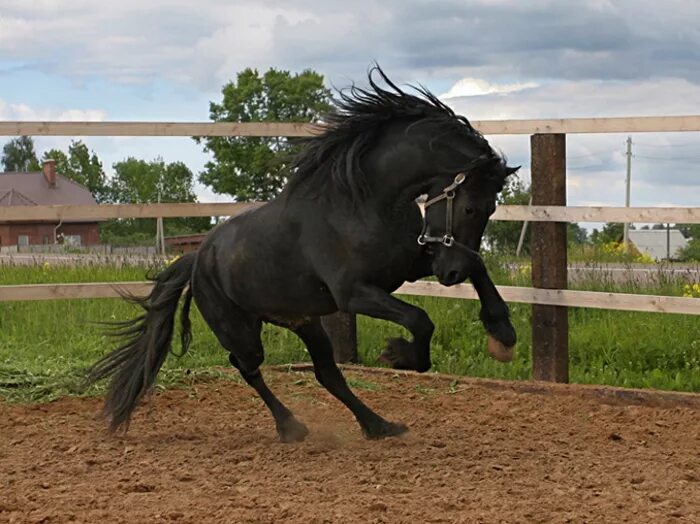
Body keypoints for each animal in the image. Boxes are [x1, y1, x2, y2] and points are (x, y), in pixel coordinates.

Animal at [85, 66, 516, 442]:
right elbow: (420, 320)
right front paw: (396, 354)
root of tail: (197, 259)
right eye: (471, 208)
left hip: (306, 322)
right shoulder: (355, 293)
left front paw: (502, 335)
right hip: (240, 329)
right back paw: (291, 427)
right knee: (247, 366)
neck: (363, 203)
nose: (450, 275)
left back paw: (378, 426)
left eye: (492, 208)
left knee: (327, 374)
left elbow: (478, 266)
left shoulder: (407, 266)